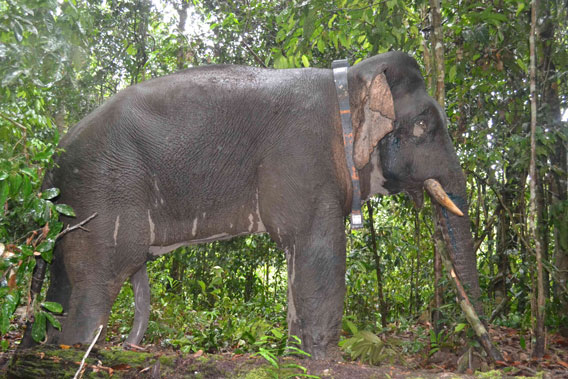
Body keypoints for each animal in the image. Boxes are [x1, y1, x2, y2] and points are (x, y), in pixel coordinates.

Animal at [24, 51, 482, 360]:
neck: (349, 77)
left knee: (63, 285)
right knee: (94, 284)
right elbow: (319, 254)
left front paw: (295, 356)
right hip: (102, 194)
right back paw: (78, 353)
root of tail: (52, 161)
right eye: (423, 125)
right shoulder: (302, 157)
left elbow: (299, 259)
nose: (475, 349)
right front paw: (324, 361)